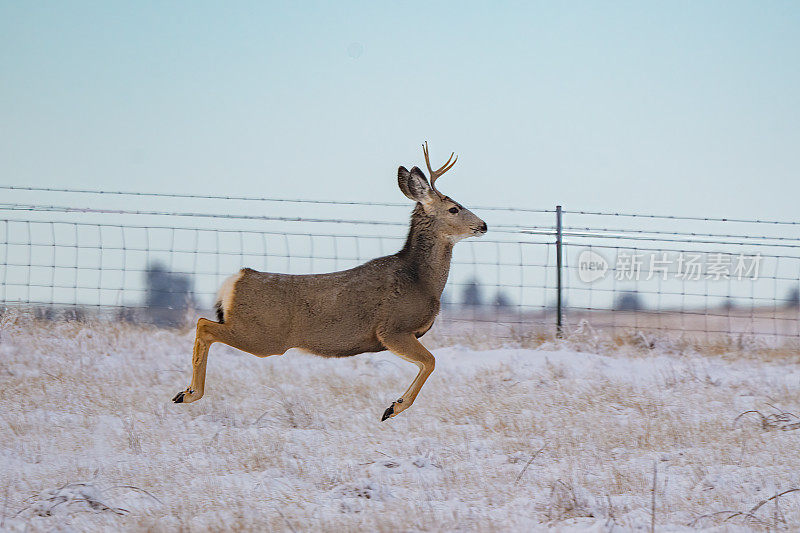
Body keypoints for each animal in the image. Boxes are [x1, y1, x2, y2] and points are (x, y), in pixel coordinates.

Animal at [172, 142, 488, 420]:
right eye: (454, 208)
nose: (483, 225)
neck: (421, 280)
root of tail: (235, 280)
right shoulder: (392, 328)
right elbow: (431, 362)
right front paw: (393, 407)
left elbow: (429, 363)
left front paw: (393, 406)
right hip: (262, 336)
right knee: (203, 325)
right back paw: (188, 394)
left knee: (204, 324)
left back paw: (184, 392)